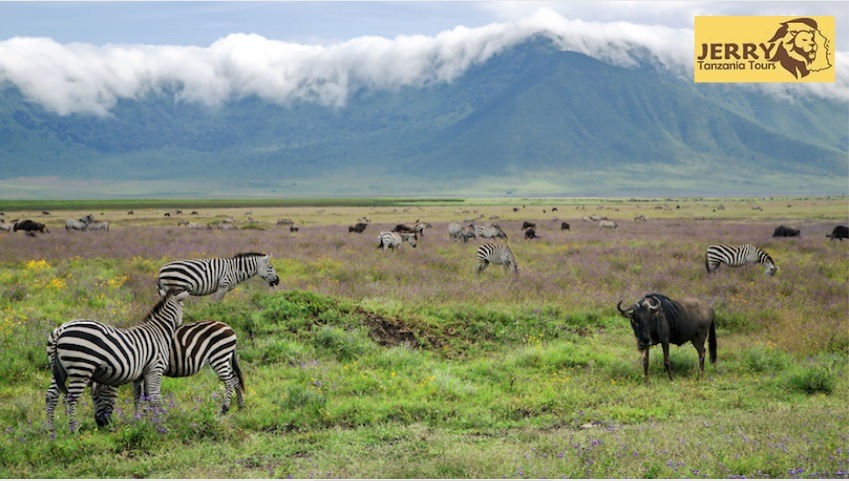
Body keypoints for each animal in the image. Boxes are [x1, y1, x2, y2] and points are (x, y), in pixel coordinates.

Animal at [46, 288, 189, 432]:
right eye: (182, 307)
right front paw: (159, 423)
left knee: (51, 396)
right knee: (70, 399)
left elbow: (138, 398)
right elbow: (154, 398)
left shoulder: (140, 375)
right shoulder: (155, 369)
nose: (181, 324)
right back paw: (73, 430)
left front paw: (139, 422)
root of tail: (61, 329)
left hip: (58, 370)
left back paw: (51, 431)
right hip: (81, 369)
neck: (159, 331)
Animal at [91, 318, 247, 424]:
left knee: (229, 381)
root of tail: (229, 327)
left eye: (99, 396)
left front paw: (149, 414)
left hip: (218, 356)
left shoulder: (149, 369)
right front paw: (147, 414)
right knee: (235, 379)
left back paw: (224, 409)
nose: (100, 423)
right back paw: (240, 407)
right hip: (224, 357)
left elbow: (147, 393)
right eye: (93, 399)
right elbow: (145, 393)